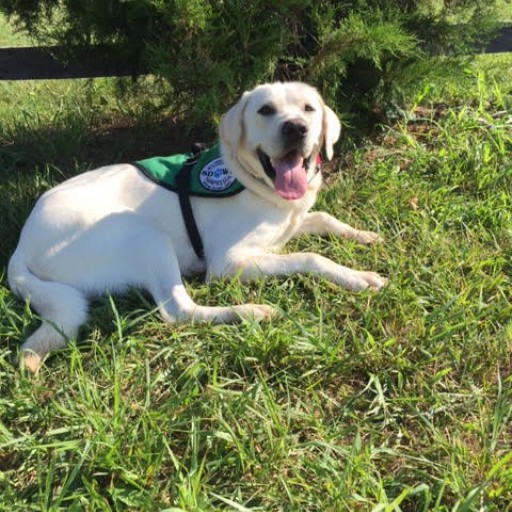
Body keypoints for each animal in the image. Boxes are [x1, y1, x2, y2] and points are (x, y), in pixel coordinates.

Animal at [8, 83, 386, 372]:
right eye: (265, 110)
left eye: (308, 108)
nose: (295, 128)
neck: (254, 182)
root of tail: (20, 248)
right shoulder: (228, 263)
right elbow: (309, 257)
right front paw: (357, 276)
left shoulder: (289, 223)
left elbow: (324, 218)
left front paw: (362, 235)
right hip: (145, 234)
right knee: (177, 312)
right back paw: (247, 312)